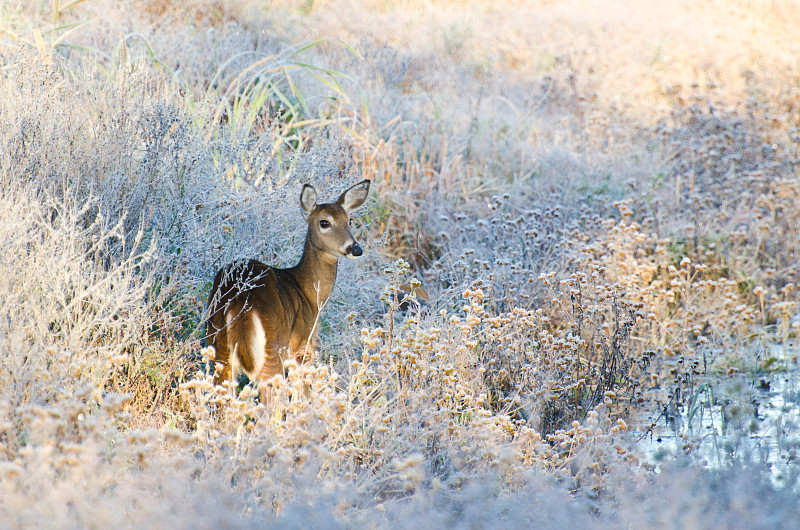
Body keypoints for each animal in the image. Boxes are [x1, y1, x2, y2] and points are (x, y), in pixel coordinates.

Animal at [205, 178, 370, 400]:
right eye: (324, 222)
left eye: (349, 220)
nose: (355, 248)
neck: (309, 294)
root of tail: (240, 301)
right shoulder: (302, 347)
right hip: (273, 348)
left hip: (219, 348)